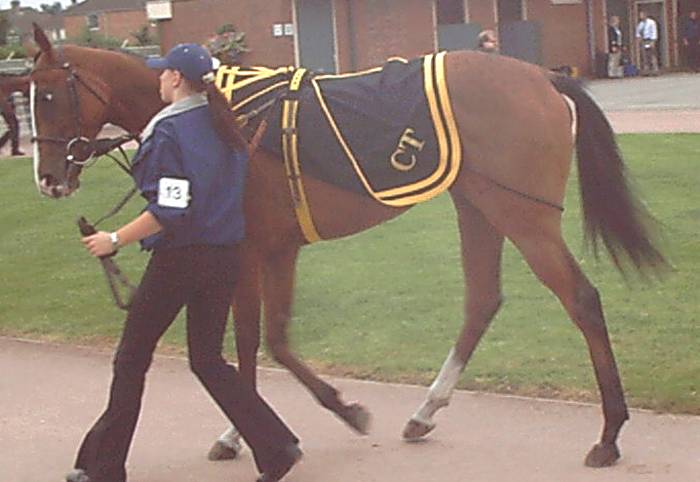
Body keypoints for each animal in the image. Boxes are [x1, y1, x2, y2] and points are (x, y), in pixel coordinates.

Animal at [28, 24, 666, 468]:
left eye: (51, 95)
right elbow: (266, 341)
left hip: (523, 214)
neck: (214, 114)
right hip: (478, 205)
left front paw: (321, 415)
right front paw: (253, 430)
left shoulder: (256, 252)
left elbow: (262, 343)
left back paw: (609, 435)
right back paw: (425, 412)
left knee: (581, 300)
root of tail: (542, 76)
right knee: (482, 300)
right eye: (29, 94)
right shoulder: (272, 252)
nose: (48, 177)